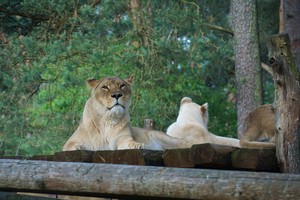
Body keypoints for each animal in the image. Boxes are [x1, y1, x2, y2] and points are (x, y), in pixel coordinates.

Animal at [62, 76, 192, 151]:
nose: (117, 95)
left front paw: (138, 145)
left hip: (165, 138)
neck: (108, 119)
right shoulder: (70, 141)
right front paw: (79, 147)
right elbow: (70, 146)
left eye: (122, 86)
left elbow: (129, 143)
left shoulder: (122, 139)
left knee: (184, 142)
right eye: (105, 87)